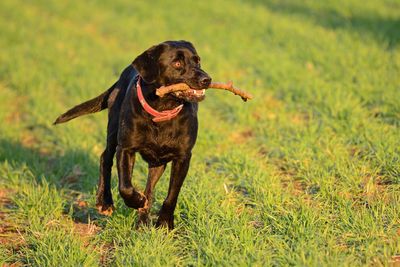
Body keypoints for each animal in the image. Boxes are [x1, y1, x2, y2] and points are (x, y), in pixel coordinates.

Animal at [55, 40, 214, 229]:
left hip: (157, 162)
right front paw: (136, 201)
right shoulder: (126, 149)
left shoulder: (183, 157)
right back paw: (105, 202)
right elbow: (125, 186)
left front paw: (164, 223)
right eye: (177, 63)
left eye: (198, 61)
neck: (162, 111)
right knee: (105, 158)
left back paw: (143, 223)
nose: (207, 79)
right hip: (113, 130)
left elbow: (171, 195)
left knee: (150, 190)